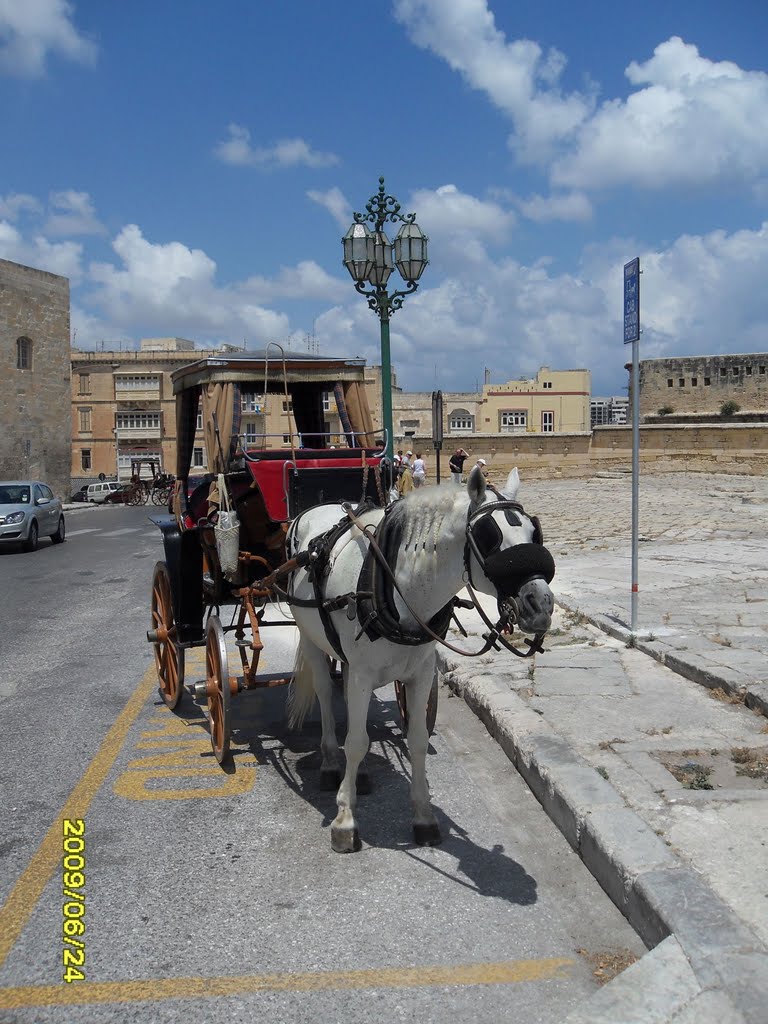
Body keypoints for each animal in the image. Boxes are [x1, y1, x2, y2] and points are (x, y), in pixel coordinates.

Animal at [286, 468, 557, 851]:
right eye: (490, 537)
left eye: (535, 533)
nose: (542, 604)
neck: (397, 588)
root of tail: (317, 508)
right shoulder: (363, 675)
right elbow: (355, 742)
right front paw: (345, 819)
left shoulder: (421, 673)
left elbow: (414, 739)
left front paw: (423, 817)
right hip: (310, 637)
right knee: (325, 694)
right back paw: (329, 762)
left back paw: (362, 775)